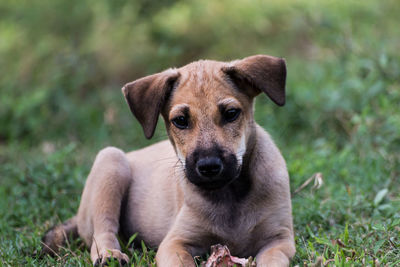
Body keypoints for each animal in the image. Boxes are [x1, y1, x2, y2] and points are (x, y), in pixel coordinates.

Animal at [42, 55, 296, 266]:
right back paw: (110, 255)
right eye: (181, 120)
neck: (230, 196)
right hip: (111, 161)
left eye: (231, 113)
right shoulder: (175, 243)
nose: (209, 167)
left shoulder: (280, 240)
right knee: (102, 231)